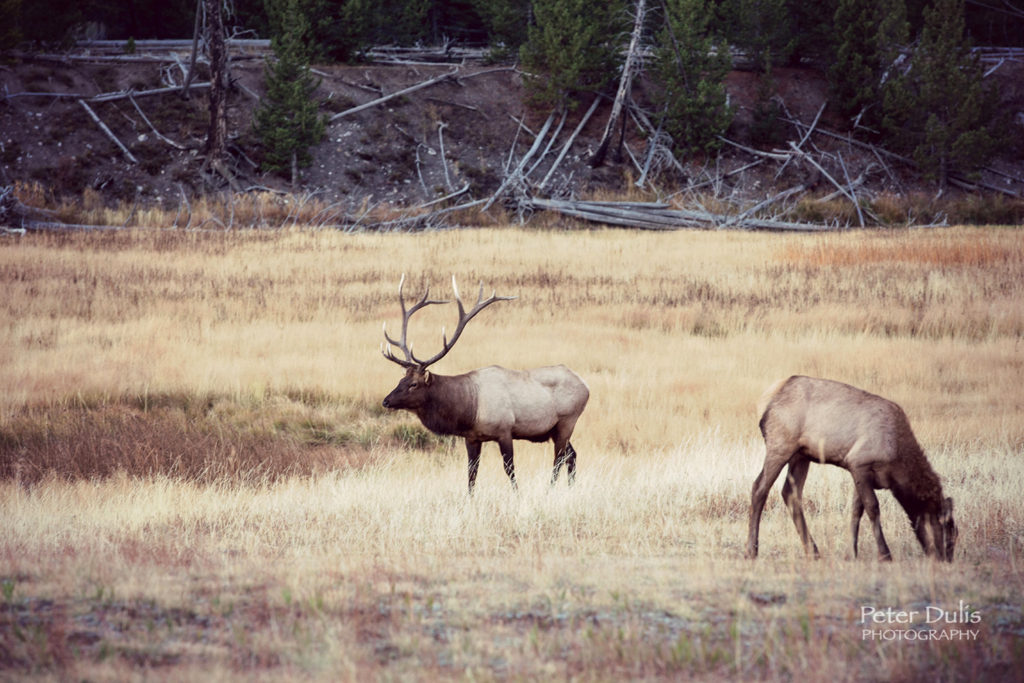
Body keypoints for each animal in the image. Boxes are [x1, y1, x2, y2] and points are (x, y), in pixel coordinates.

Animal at [382, 274, 593, 493]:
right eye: (401, 379)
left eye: (414, 384)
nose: (386, 401)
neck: (469, 409)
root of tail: (585, 384)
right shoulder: (472, 437)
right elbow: (471, 473)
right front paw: (470, 497)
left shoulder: (505, 430)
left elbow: (509, 468)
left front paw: (517, 494)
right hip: (554, 429)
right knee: (572, 455)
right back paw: (570, 488)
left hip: (567, 421)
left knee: (559, 458)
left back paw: (549, 489)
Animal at [745, 376, 958, 565]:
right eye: (946, 527)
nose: (945, 559)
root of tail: (766, 400)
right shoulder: (859, 463)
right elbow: (873, 508)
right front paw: (884, 554)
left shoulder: (860, 473)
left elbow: (856, 510)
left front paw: (851, 553)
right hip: (780, 446)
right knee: (759, 488)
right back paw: (751, 550)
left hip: (801, 455)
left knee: (790, 493)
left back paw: (813, 551)